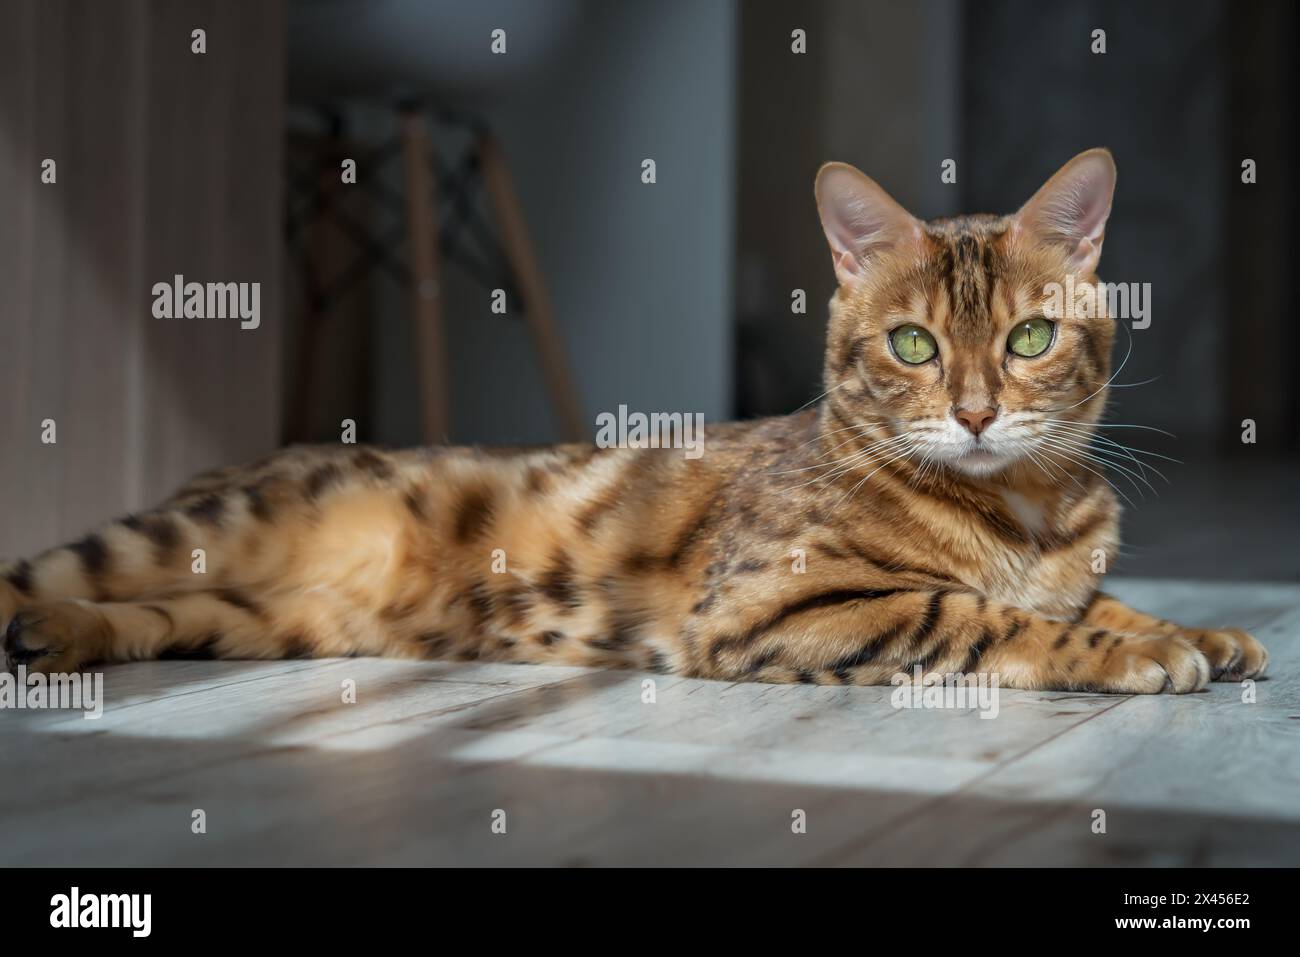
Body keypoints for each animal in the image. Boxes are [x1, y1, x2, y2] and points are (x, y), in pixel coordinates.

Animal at [0, 145, 1263, 691]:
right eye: (912, 346)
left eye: (1027, 341)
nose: (975, 413)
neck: (1026, 509)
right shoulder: (779, 603)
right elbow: (981, 616)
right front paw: (1128, 652)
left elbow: (1104, 599)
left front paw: (1193, 631)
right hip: (193, 533)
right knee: (41, 568)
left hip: (267, 619)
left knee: (152, 617)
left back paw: (58, 639)